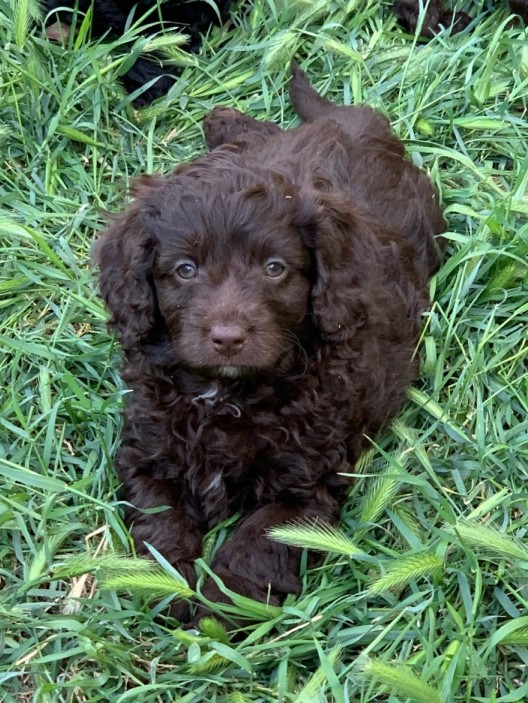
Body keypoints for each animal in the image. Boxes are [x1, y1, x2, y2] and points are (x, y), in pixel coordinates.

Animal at [95, 62, 446, 620]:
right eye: (185, 270)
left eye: (275, 269)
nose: (228, 337)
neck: (227, 393)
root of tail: (355, 124)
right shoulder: (148, 449)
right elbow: (161, 515)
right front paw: (173, 584)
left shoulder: (305, 478)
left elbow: (259, 539)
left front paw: (222, 610)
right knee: (260, 133)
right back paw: (221, 118)